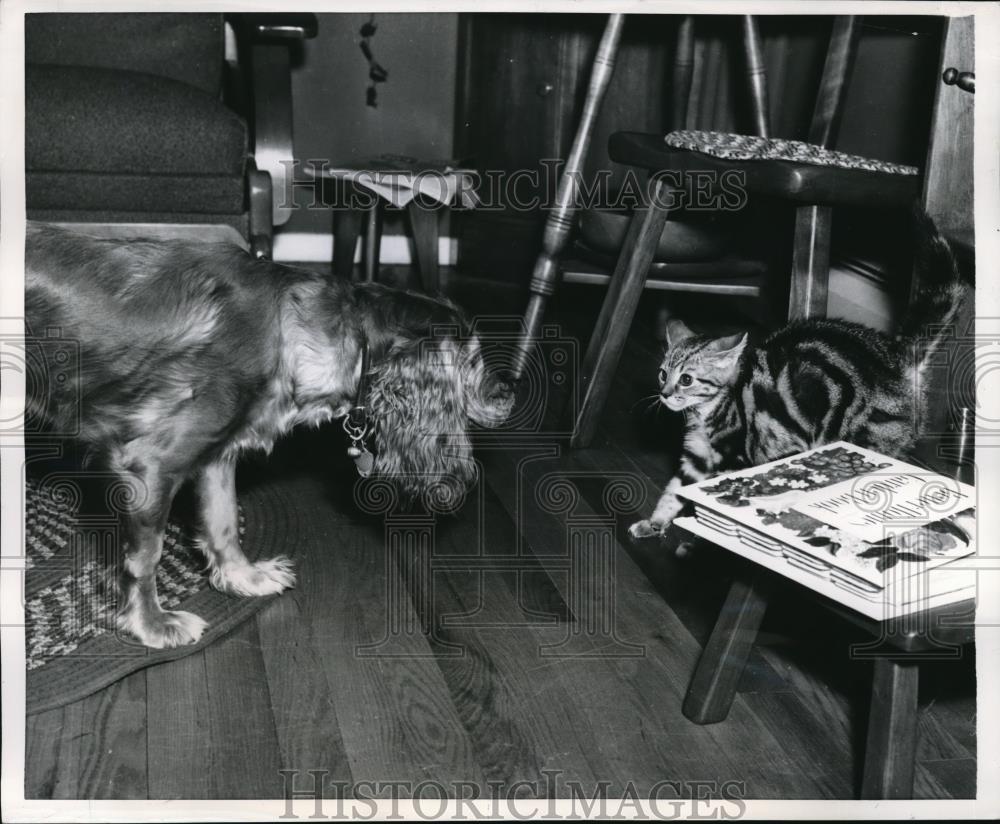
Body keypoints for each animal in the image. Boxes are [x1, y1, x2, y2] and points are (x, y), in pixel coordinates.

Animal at [25, 225, 516, 652]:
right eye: (473, 360)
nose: (509, 393)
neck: (290, 332)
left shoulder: (216, 456)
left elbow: (223, 521)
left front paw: (244, 577)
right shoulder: (149, 464)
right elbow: (146, 556)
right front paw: (152, 624)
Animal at [632, 216, 968, 544]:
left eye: (687, 379)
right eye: (663, 374)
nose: (665, 393)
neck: (709, 411)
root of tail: (895, 356)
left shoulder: (737, 458)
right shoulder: (696, 459)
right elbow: (674, 492)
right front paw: (654, 522)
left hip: (863, 439)